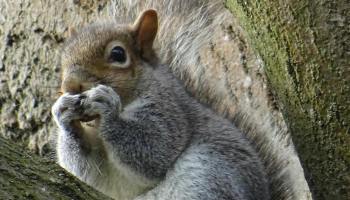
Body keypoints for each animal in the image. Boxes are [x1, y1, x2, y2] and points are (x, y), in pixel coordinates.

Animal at [51, 7, 270, 199]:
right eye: (63, 59)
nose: (69, 85)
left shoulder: (169, 109)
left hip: (209, 174)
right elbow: (88, 171)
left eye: (118, 54)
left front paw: (107, 109)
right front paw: (63, 113)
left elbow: (156, 150)